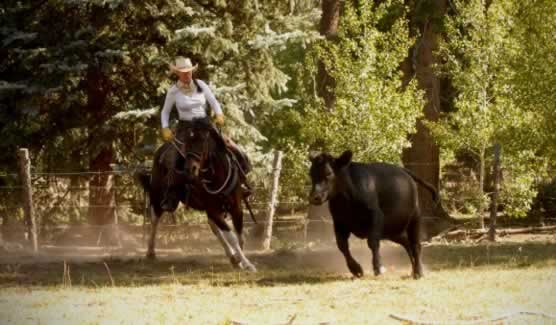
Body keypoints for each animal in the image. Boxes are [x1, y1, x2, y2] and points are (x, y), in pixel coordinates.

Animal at [136, 119, 258, 270]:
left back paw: (232, 256)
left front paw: (239, 259)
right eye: (187, 143)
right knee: (154, 220)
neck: (216, 177)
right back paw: (150, 252)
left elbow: (239, 236)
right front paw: (246, 263)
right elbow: (232, 237)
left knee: (215, 229)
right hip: (157, 196)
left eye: (203, 142)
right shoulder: (213, 210)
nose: (190, 168)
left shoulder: (236, 207)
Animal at [306, 151, 436, 278]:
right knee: (407, 244)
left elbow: (372, 242)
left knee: (415, 245)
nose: (314, 197)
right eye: (311, 174)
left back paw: (419, 271)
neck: (347, 199)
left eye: (328, 173)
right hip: (393, 231)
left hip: (414, 217)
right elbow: (342, 245)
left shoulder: (375, 217)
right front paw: (356, 269)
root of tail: (404, 171)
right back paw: (414, 270)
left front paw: (378, 267)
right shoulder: (339, 222)